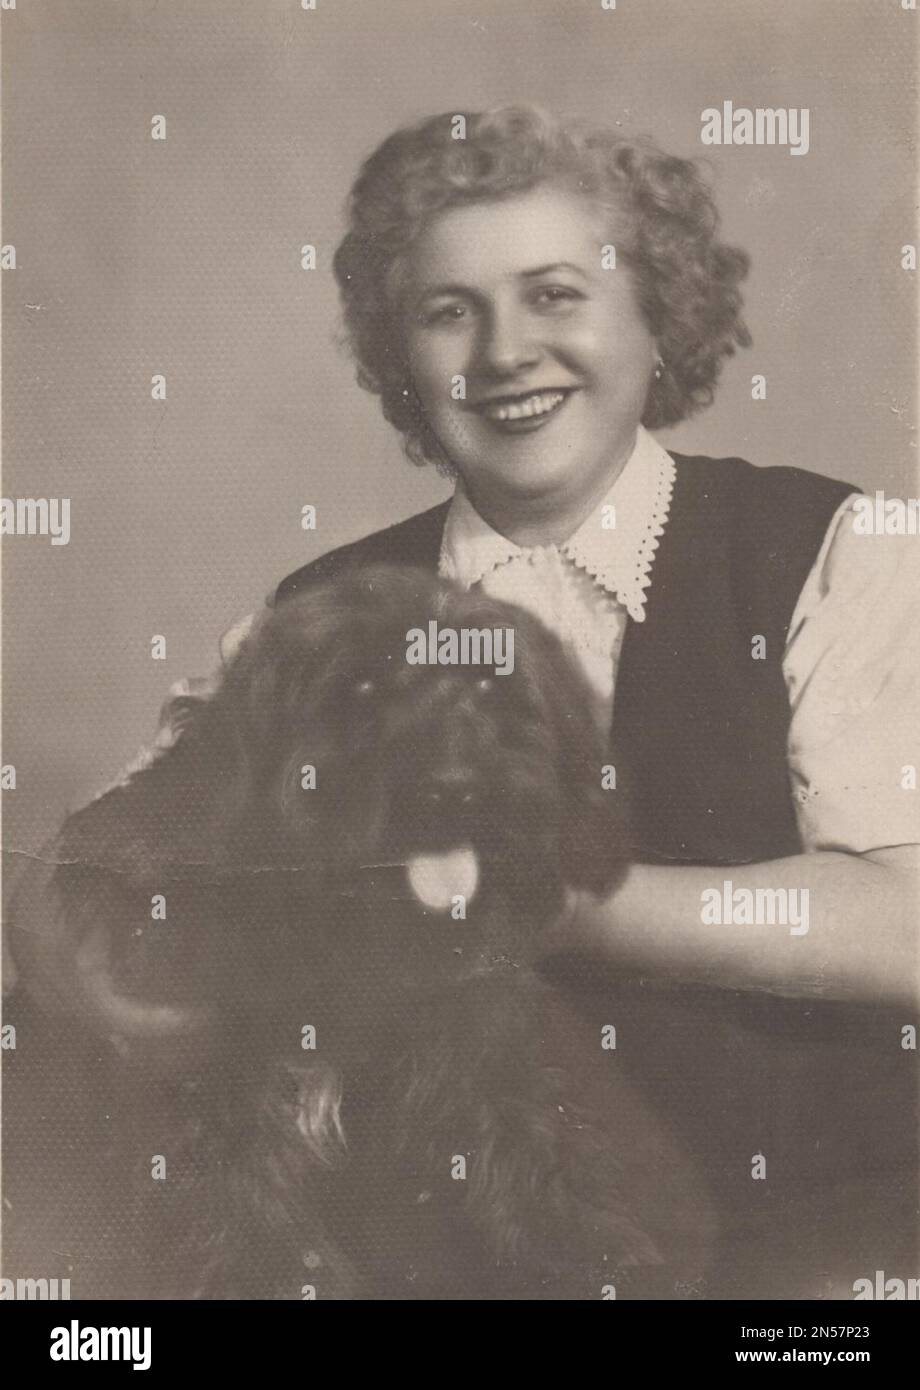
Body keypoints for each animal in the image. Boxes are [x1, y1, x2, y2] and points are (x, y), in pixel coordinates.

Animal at [9, 564, 722, 1301]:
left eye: (488, 685)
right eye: (360, 688)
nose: (455, 788)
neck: (343, 938)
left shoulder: (476, 1030)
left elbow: (536, 1147)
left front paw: (603, 1259)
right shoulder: (205, 1107)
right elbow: (255, 1236)